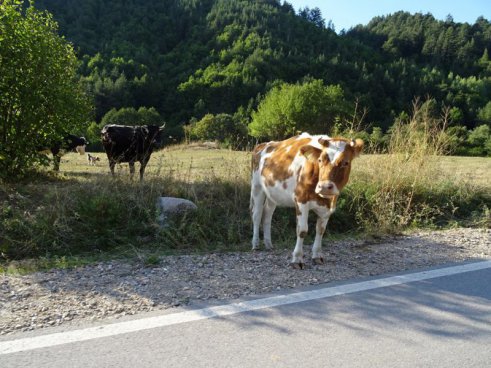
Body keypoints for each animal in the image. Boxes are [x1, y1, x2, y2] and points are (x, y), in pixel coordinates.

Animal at [252, 132, 364, 268]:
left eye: (346, 162)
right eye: (320, 160)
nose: (324, 187)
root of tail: (263, 145)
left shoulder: (328, 206)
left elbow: (320, 230)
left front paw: (317, 256)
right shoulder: (301, 200)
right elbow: (302, 230)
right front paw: (297, 259)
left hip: (273, 193)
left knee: (267, 215)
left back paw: (268, 244)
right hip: (257, 187)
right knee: (257, 215)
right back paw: (255, 244)